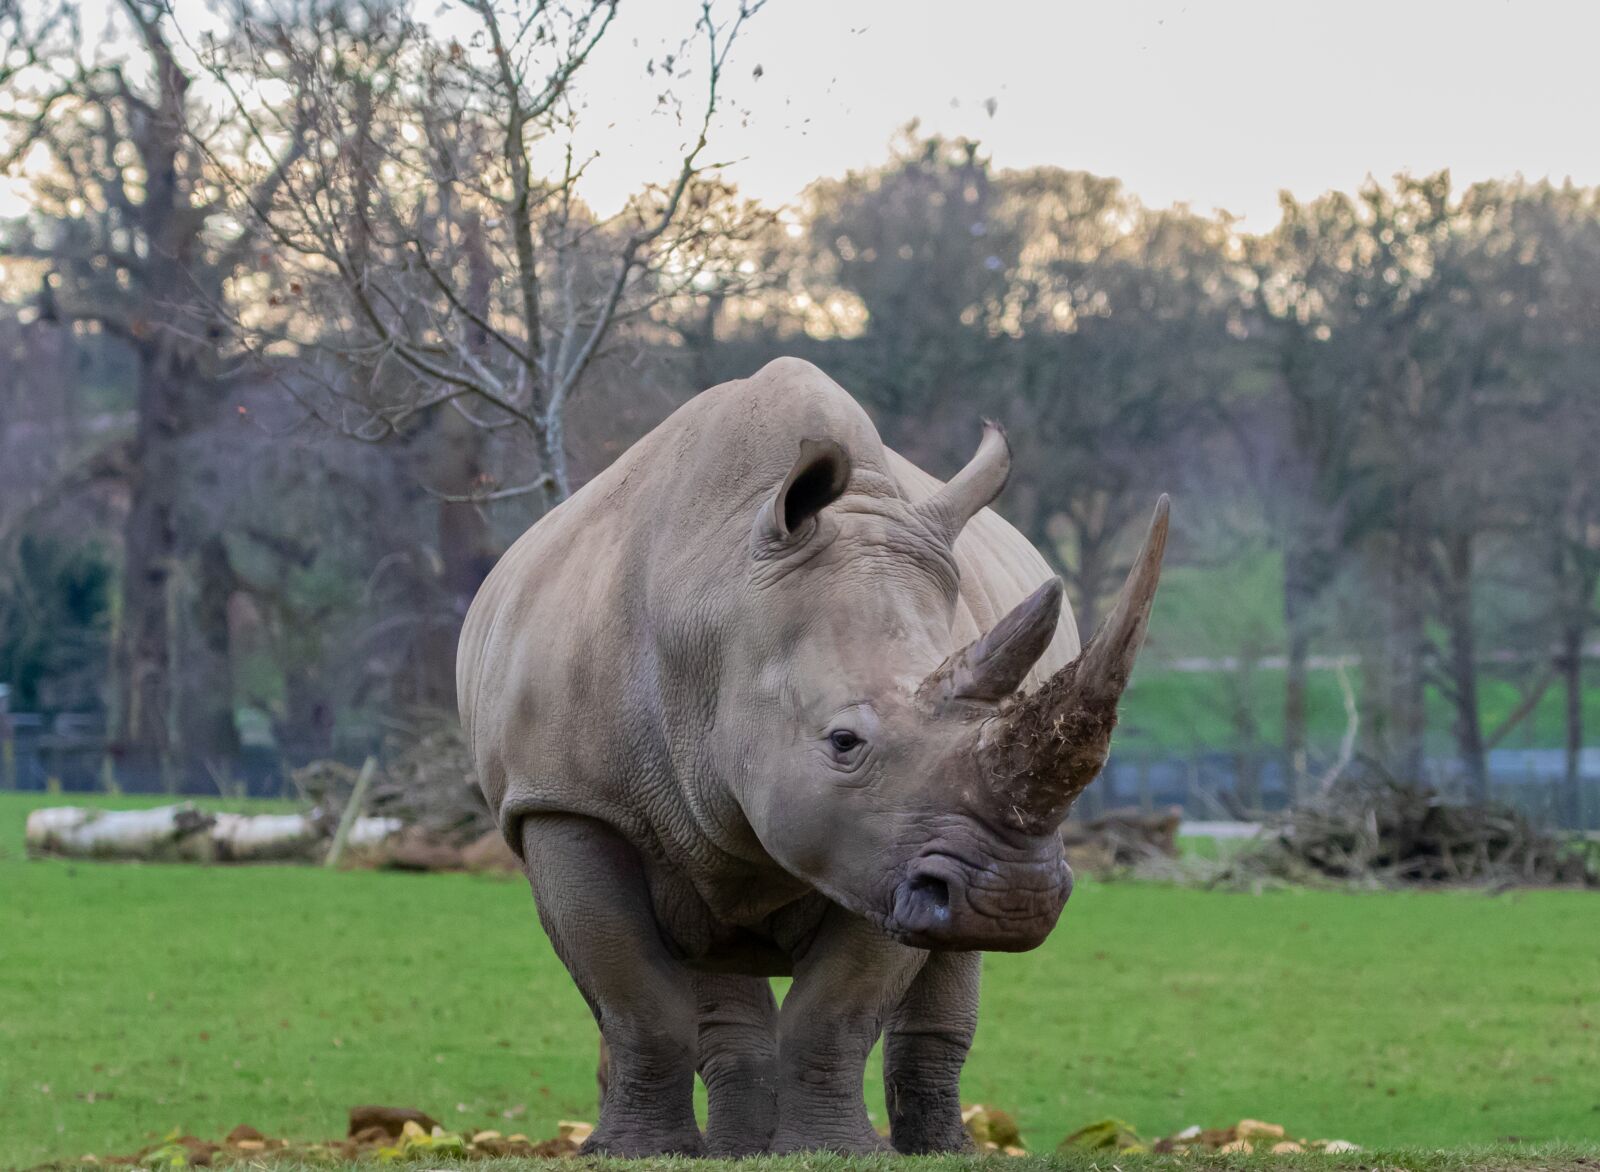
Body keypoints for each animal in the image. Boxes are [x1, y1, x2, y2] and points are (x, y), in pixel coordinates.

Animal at [457, 357, 1168, 1156]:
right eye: (843, 742)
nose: (1014, 901)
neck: (714, 612)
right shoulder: (566, 801)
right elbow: (635, 995)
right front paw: (636, 1154)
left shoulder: (884, 845)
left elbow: (836, 1010)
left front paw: (833, 1151)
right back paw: (733, 1150)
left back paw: (936, 1151)